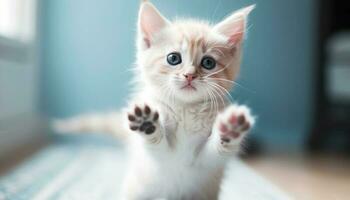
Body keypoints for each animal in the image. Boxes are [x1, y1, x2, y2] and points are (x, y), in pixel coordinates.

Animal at [54, 0, 254, 199]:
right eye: (173, 58)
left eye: (208, 63)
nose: (189, 75)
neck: (186, 109)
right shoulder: (154, 161)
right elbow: (157, 147)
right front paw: (147, 124)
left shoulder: (206, 165)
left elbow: (215, 152)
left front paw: (231, 129)